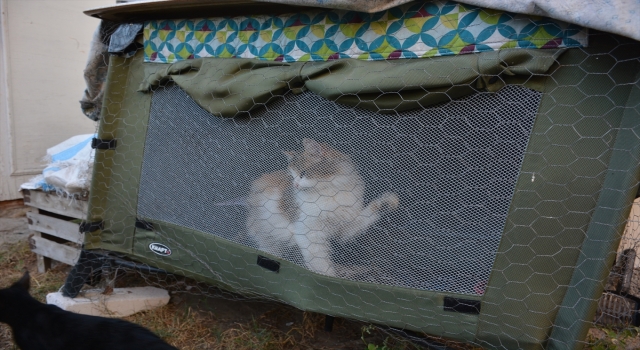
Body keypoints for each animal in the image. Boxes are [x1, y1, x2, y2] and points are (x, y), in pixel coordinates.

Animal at [246, 138, 400, 278]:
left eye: (302, 174)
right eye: (292, 176)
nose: (296, 185)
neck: (330, 193)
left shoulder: (346, 227)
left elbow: (370, 212)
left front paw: (389, 202)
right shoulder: (310, 235)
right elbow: (322, 267)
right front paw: (328, 281)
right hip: (271, 243)